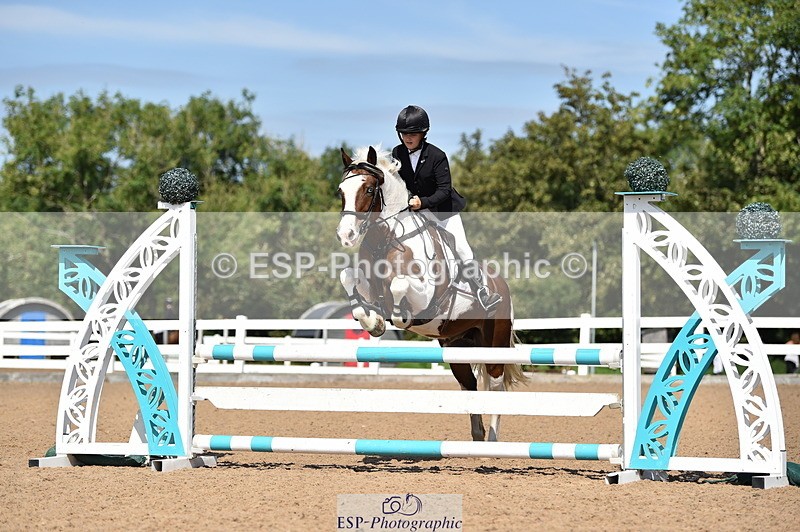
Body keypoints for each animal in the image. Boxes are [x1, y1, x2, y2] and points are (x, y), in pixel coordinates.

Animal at [336, 145, 526, 442]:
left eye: (368, 189)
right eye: (341, 191)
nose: (346, 235)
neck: (386, 238)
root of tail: (502, 286)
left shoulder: (424, 294)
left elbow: (399, 285)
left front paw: (399, 317)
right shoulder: (369, 285)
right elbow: (349, 279)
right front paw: (374, 322)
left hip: (495, 342)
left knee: (496, 386)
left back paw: (493, 440)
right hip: (457, 347)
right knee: (470, 386)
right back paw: (477, 438)